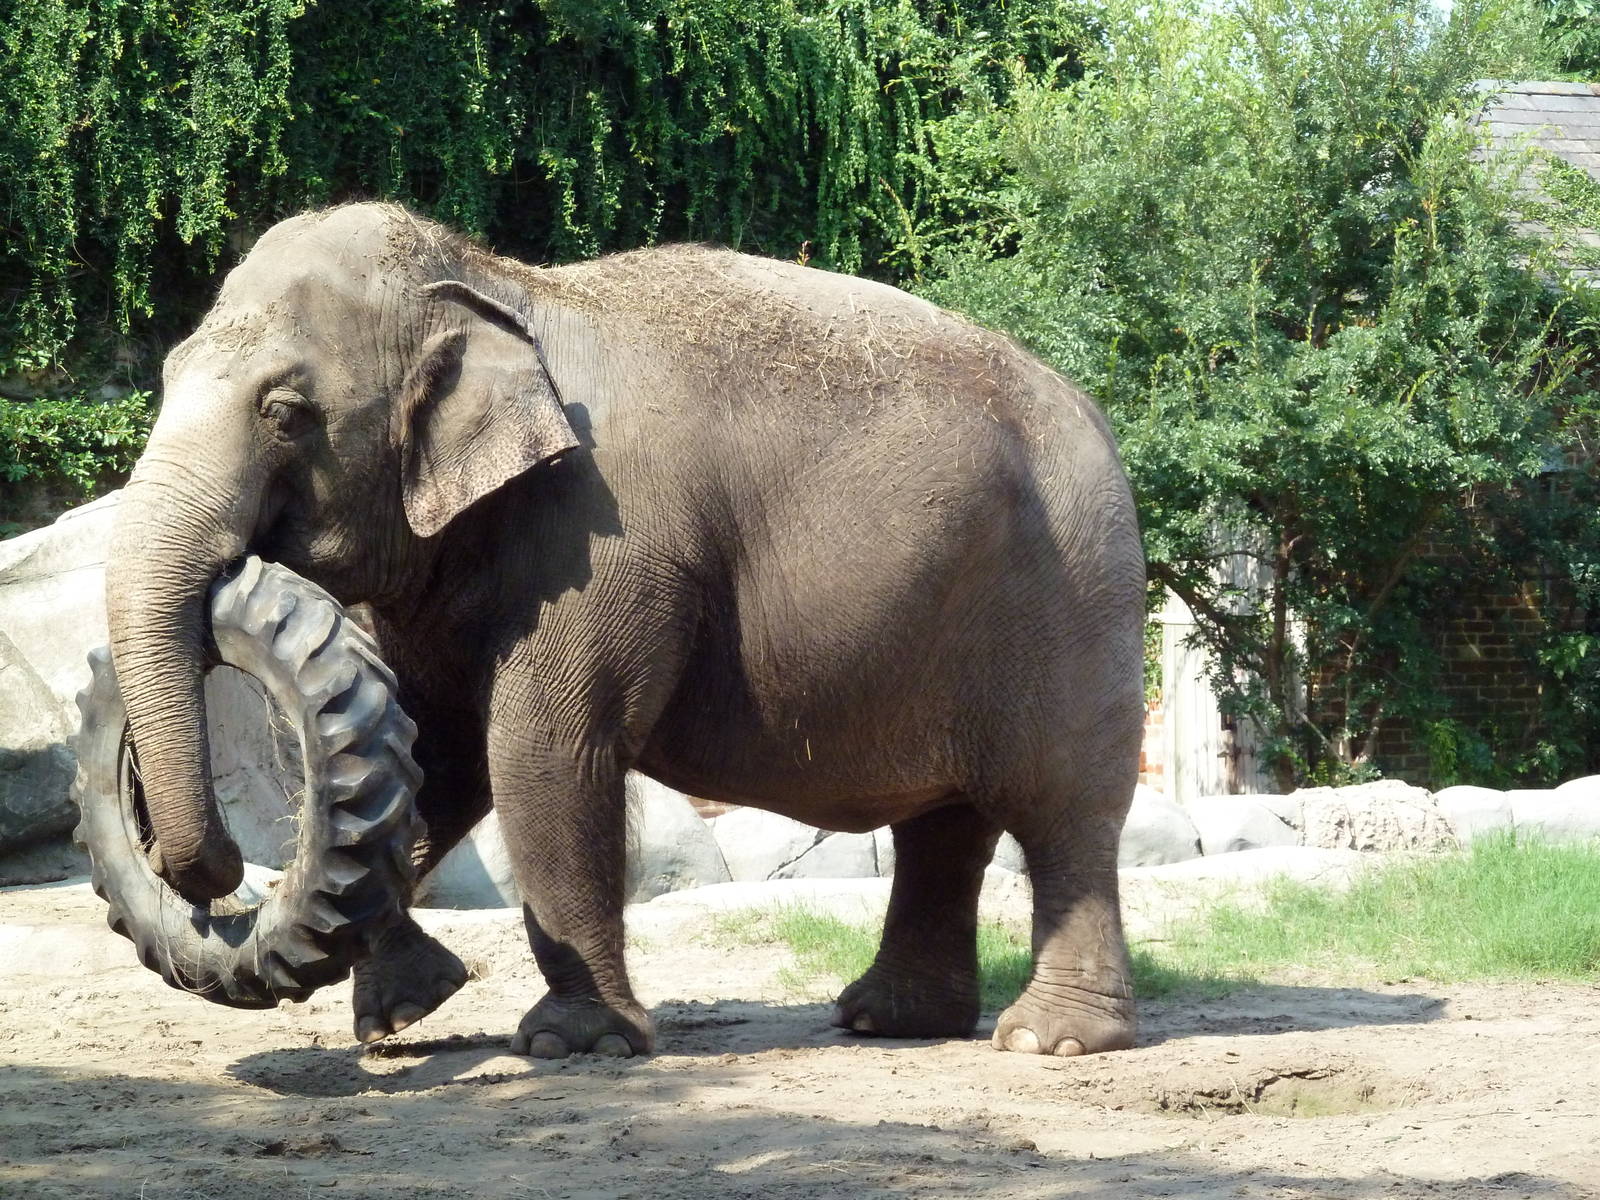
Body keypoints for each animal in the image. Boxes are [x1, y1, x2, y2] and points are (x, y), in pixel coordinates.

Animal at [104, 202, 1146, 1059]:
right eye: (166, 375)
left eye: (285, 412)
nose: (205, 875)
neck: (496, 282)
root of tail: (1097, 420)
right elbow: (433, 752)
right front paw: (403, 1015)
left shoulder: (607, 540)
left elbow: (541, 750)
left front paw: (574, 1043)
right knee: (946, 825)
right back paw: (888, 1022)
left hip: (1075, 597)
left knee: (1062, 807)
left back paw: (1047, 1042)